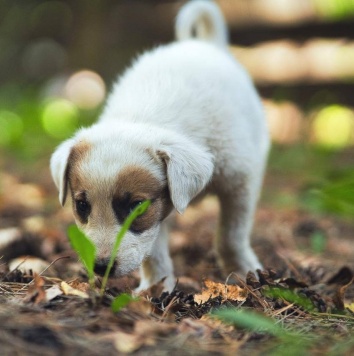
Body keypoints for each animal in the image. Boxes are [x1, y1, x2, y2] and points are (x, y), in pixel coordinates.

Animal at [51, 0, 270, 292]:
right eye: (82, 205)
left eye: (135, 206)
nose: (100, 267)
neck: (142, 115)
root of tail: (205, 45)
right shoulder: (156, 217)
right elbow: (152, 250)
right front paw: (156, 287)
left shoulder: (240, 181)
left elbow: (231, 235)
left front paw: (246, 272)